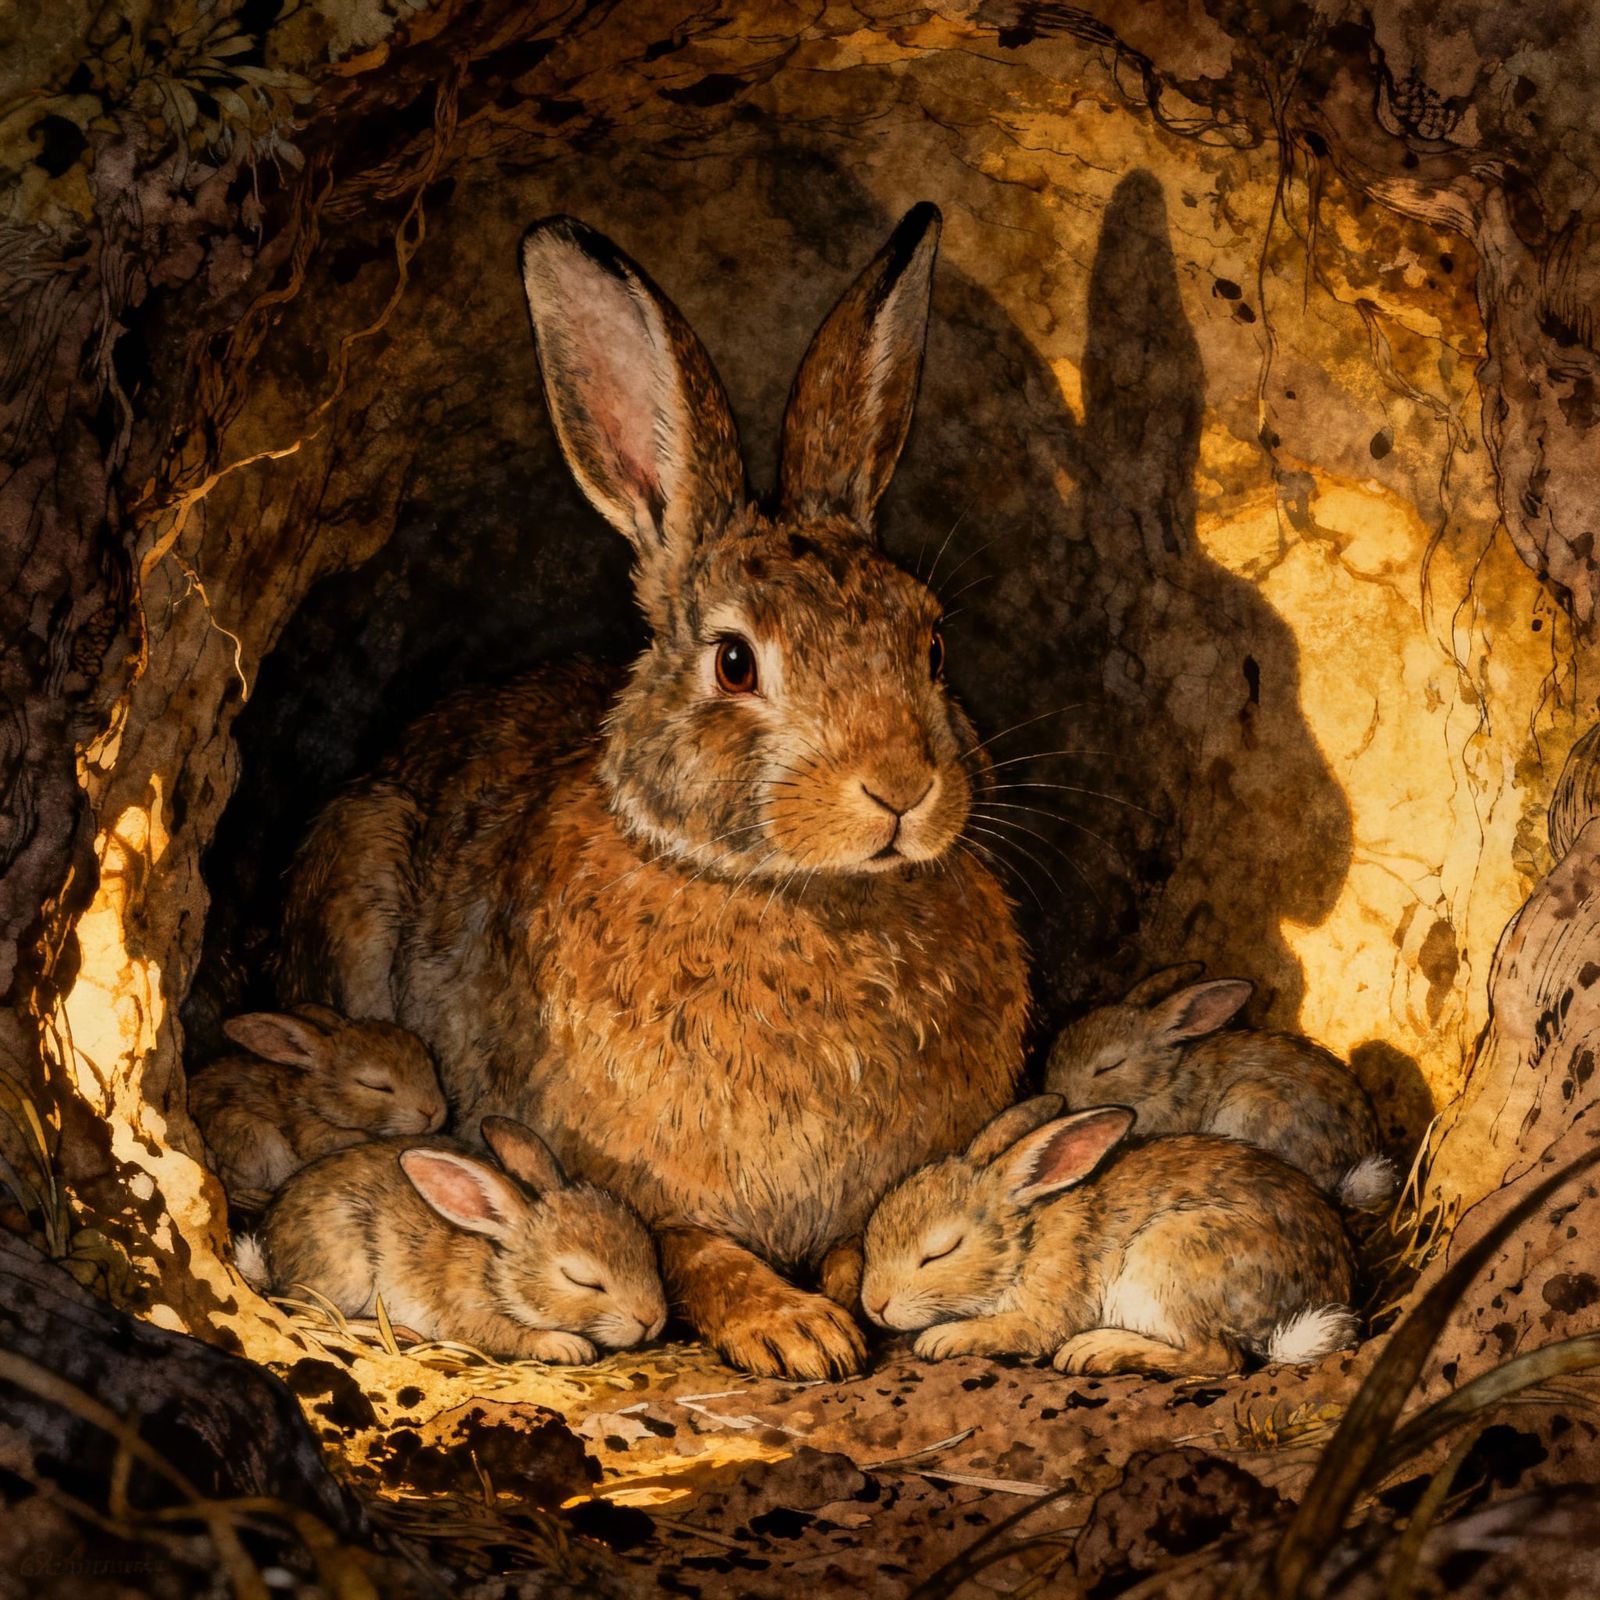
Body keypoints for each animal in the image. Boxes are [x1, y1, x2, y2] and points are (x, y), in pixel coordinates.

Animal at [240, 1116, 666, 1363]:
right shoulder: (466, 1312)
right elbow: (508, 1333)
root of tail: (269, 1253)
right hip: (346, 1270)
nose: (653, 1320)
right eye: (581, 1280)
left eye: (649, 1250)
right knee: (312, 1312)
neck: (496, 1271)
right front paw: (567, 1346)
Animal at [860, 1096, 1359, 1376]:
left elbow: (1014, 1329)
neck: (1026, 1242)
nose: (874, 1306)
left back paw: (1092, 1351)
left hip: (1168, 1261)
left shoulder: (1045, 1308)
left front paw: (941, 1339)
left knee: (1218, 1358)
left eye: (941, 1252)